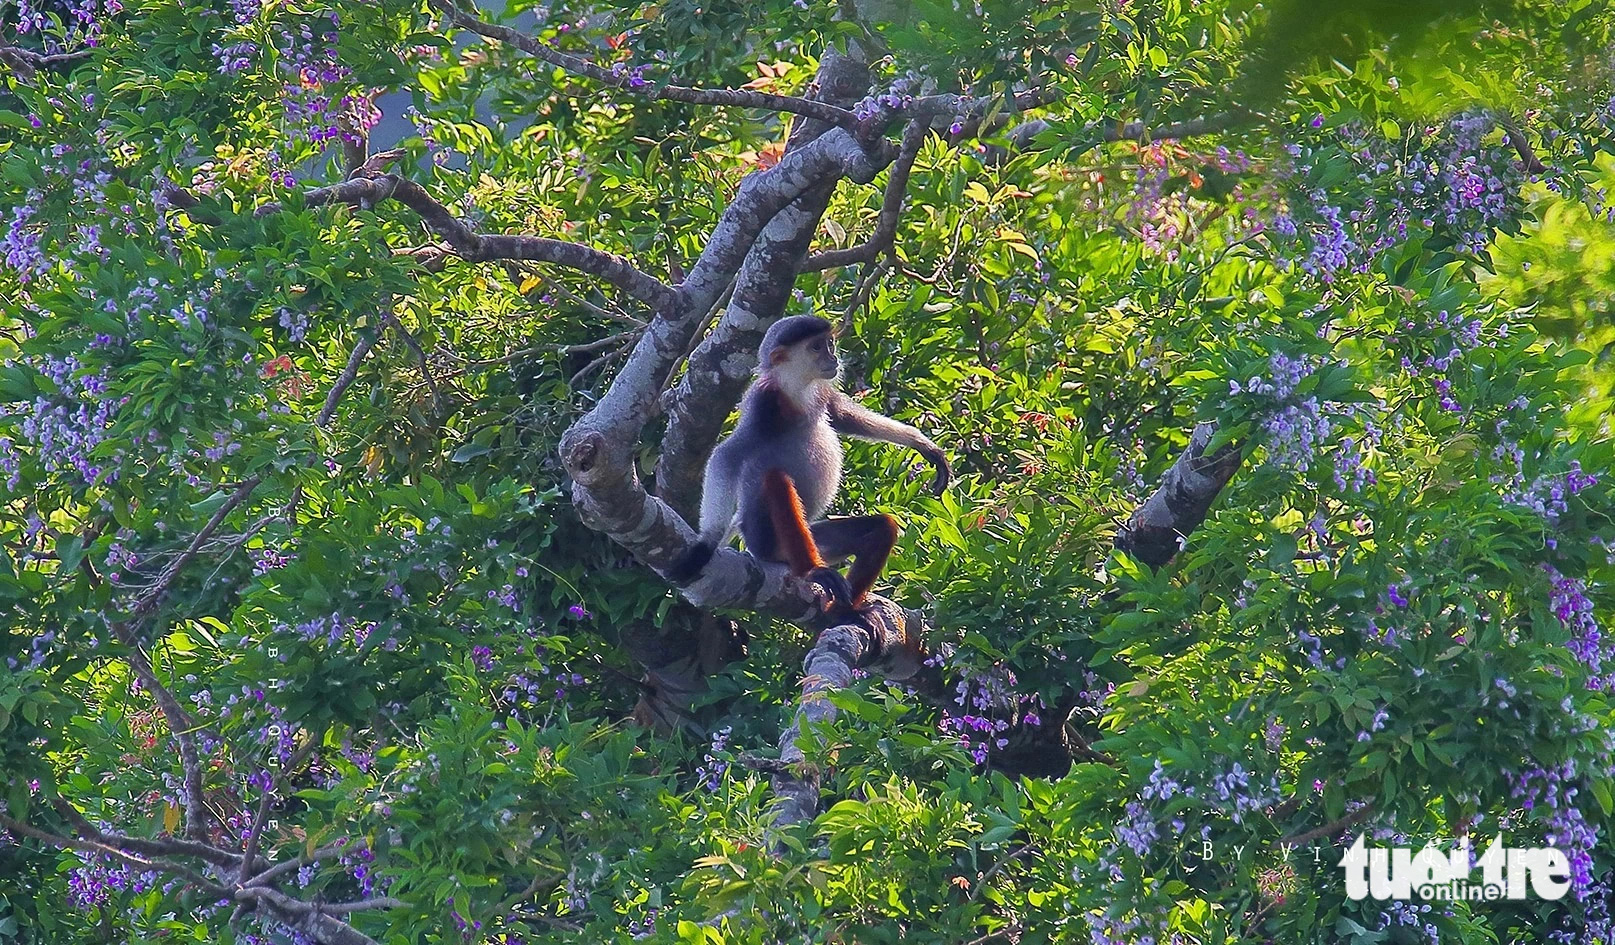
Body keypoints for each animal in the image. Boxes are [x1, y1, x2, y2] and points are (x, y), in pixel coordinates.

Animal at [665, 313, 949, 613]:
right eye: (816, 347)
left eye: (829, 343)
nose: (833, 357)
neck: (797, 390)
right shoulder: (763, 402)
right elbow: (726, 455)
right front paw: (706, 544)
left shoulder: (821, 392)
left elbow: (843, 416)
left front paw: (923, 444)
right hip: (762, 537)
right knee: (774, 479)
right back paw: (812, 571)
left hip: (819, 540)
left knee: (881, 528)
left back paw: (846, 610)